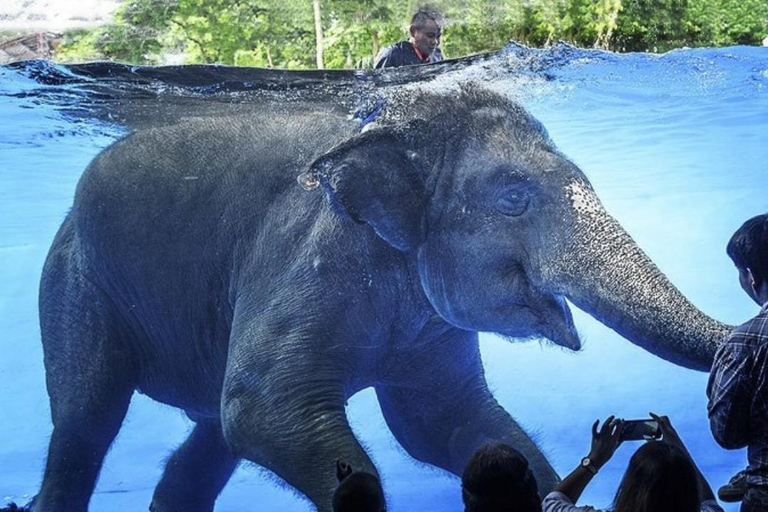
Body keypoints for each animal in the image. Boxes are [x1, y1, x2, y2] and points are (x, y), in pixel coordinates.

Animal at [31, 86, 728, 510]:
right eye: (513, 197)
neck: (388, 136)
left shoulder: (430, 327)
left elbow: (439, 423)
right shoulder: (308, 256)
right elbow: (265, 407)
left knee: (211, 430)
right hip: (73, 283)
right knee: (87, 419)